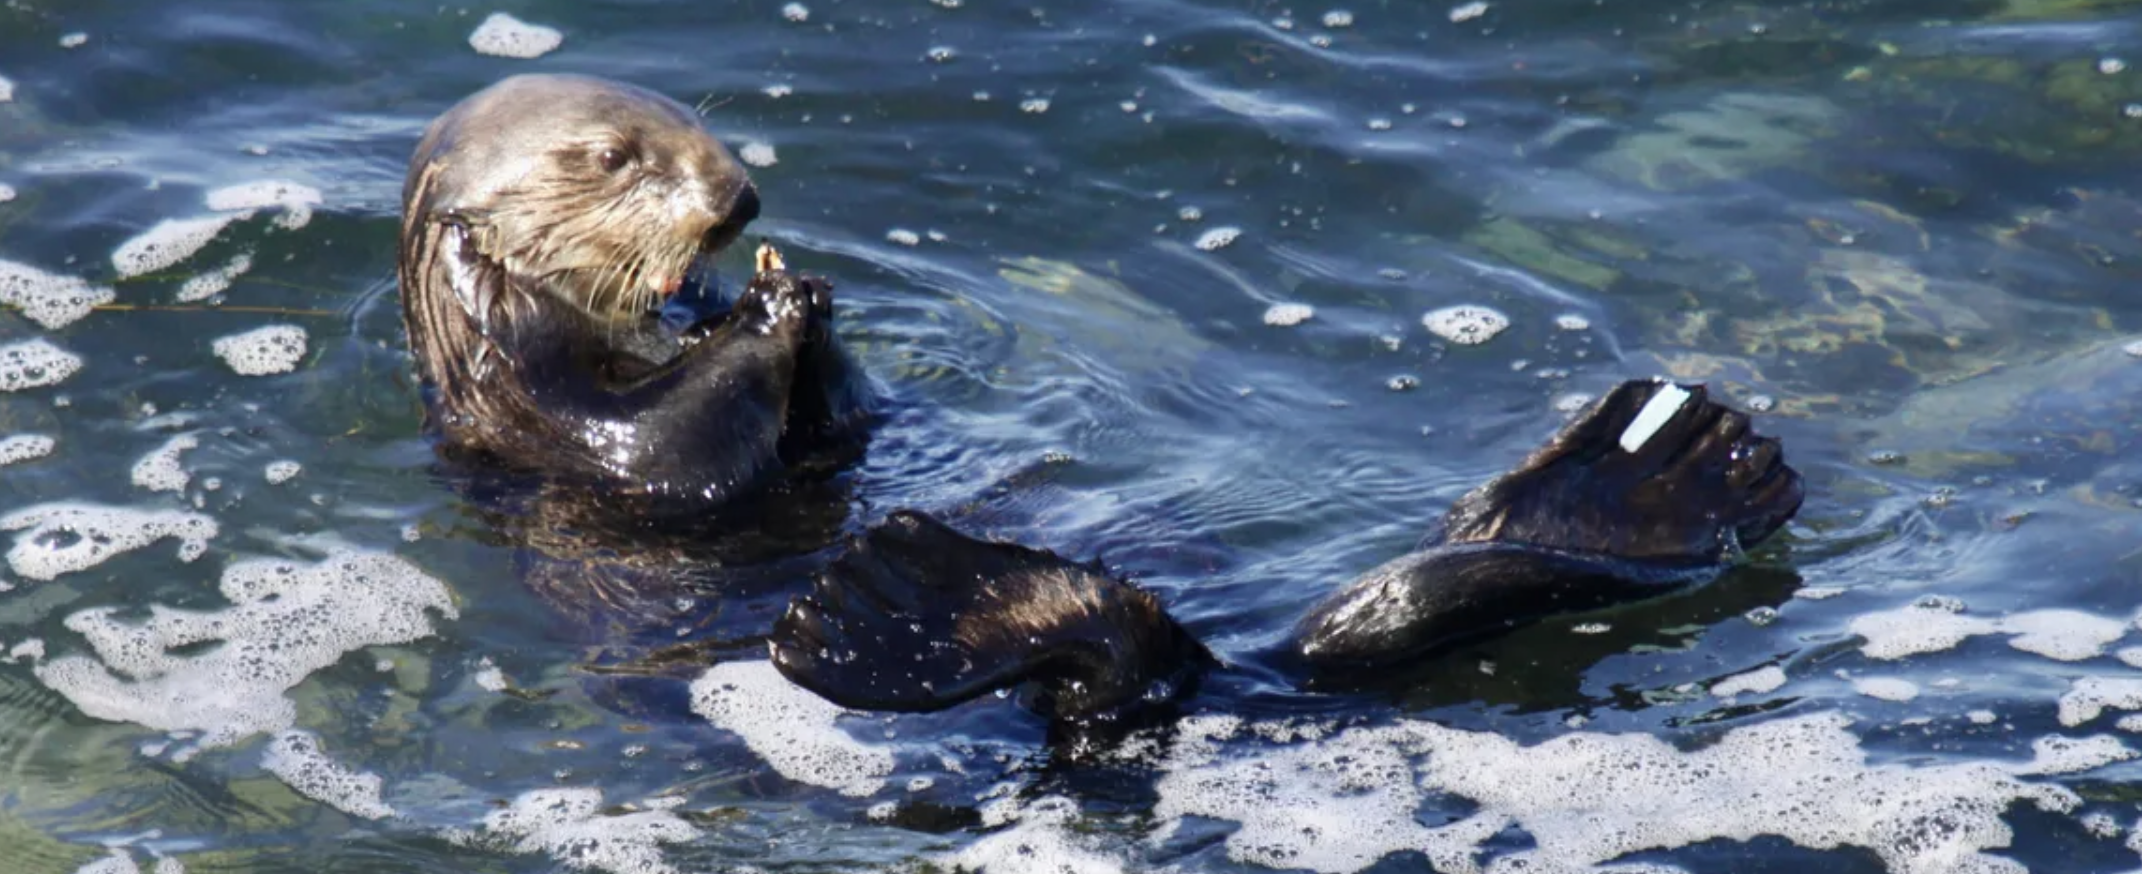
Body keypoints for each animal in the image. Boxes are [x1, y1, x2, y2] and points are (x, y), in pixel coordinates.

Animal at [397, 74, 872, 522]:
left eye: (698, 121)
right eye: (612, 158)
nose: (740, 199)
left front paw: (808, 291)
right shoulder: (534, 405)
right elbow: (664, 443)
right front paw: (767, 300)